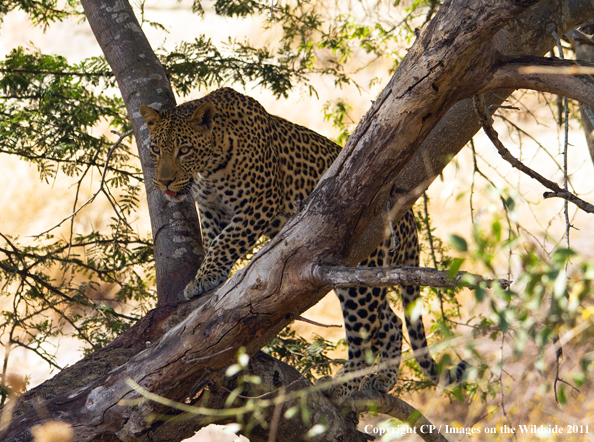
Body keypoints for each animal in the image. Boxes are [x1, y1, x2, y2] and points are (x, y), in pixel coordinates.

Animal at [140, 88, 468, 402]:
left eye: (184, 150)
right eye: (155, 149)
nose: (163, 182)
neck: (209, 170)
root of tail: (408, 215)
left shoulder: (260, 203)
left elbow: (227, 240)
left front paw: (204, 278)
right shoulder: (210, 211)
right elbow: (213, 241)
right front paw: (211, 279)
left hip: (363, 269)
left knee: (366, 329)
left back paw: (342, 385)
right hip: (359, 274)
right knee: (391, 321)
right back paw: (383, 378)